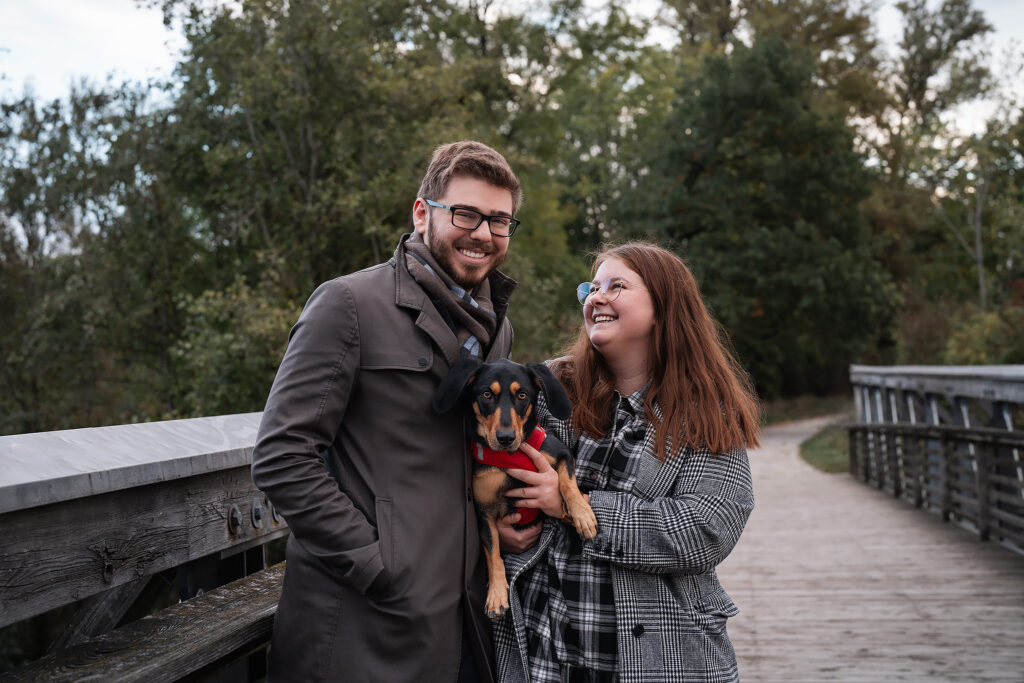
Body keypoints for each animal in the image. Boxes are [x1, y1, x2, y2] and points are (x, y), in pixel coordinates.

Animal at [434, 358, 598, 618]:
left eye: (522, 395)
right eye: (487, 394)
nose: (506, 437)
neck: (510, 457)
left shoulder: (560, 453)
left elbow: (566, 482)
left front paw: (582, 514)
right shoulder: (484, 513)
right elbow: (494, 555)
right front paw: (497, 595)